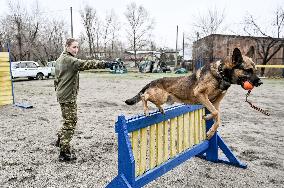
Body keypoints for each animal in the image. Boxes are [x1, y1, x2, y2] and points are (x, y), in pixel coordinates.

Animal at [125, 47, 262, 139]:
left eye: (255, 70)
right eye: (248, 70)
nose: (260, 82)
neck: (221, 74)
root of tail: (153, 81)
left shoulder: (216, 103)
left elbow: (218, 117)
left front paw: (210, 132)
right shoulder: (201, 94)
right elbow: (215, 113)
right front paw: (207, 117)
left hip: (163, 98)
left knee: (149, 98)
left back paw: (161, 109)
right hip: (160, 96)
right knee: (144, 95)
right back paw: (146, 110)